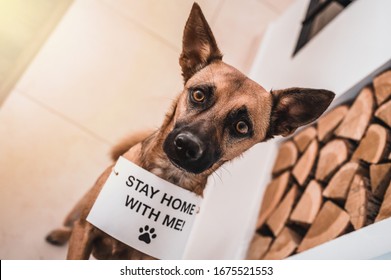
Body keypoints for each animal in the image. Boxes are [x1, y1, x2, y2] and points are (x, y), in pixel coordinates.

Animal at [45, 2, 334, 260]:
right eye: (198, 94)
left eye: (242, 126)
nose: (187, 145)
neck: (167, 177)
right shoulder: (86, 232)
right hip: (81, 212)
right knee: (73, 221)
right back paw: (60, 233)